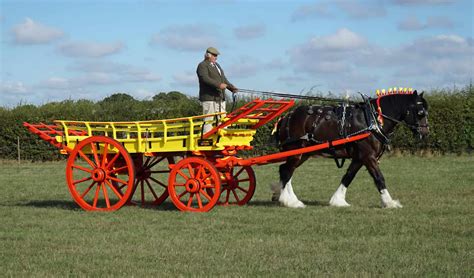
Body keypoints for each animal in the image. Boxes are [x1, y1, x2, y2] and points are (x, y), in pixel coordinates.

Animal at [270, 90, 430, 207]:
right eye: (420, 112)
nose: (425, 133)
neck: (372, 120)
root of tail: (286, 117)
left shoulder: (359, 158)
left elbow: (348, 176)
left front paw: (338, 200)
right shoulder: (368, 156)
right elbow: (379, 178)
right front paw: (389, 202)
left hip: (303, 153)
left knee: (285, 170)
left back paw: (283, 196)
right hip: (296, 151)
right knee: (287, 171)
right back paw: (290, 201)